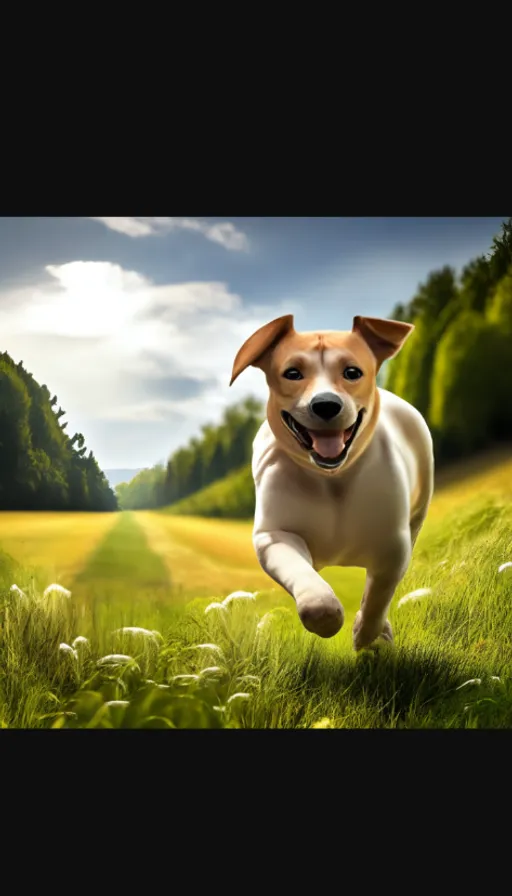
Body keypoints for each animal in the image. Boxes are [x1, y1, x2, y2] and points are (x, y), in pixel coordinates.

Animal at [230, 316, 434, 652]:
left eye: (352, 372)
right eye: (292, 373)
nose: (325, 404)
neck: (332, 480)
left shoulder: (392, 544)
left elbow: (378, 596)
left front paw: (367, 633)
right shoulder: (273, 536)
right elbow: (304, 578)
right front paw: (325, 616)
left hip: (419, 508)